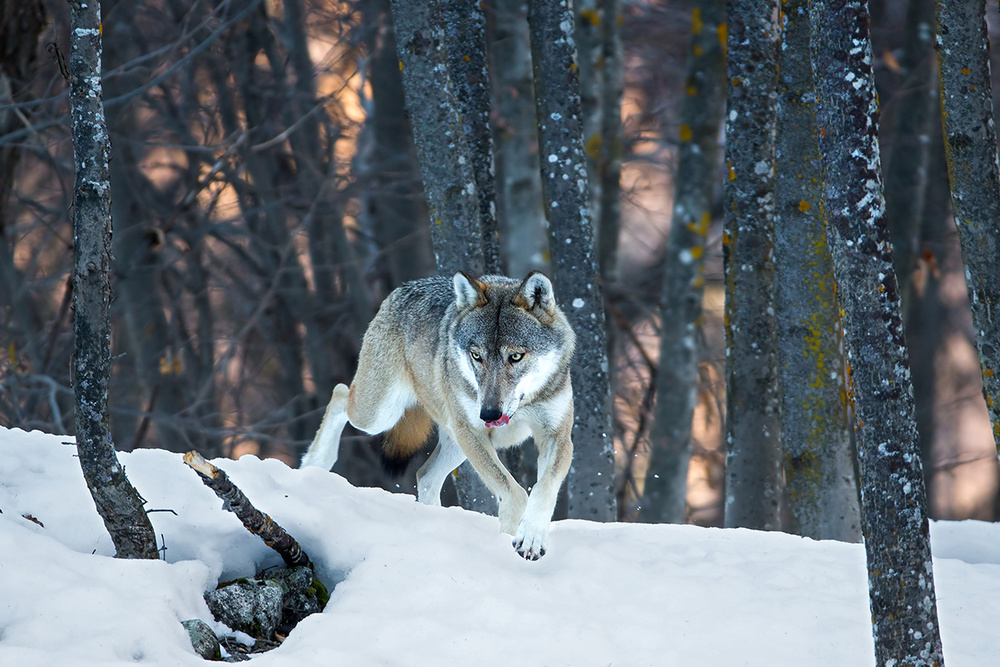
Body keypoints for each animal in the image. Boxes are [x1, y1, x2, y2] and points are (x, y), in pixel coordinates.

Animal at [300, 272, 576, 560]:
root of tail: (403, 288)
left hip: (454, 442)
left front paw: (531, 537)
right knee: (340, 393)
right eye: (476, 356)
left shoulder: (557, 437)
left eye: (516, 356)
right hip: (380, 416)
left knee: (425, 475)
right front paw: (511, 539)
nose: (488, 413)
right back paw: (314, 465)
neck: (521, 405)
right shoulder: (473, 432)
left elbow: (543, 488)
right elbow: (515, 492)